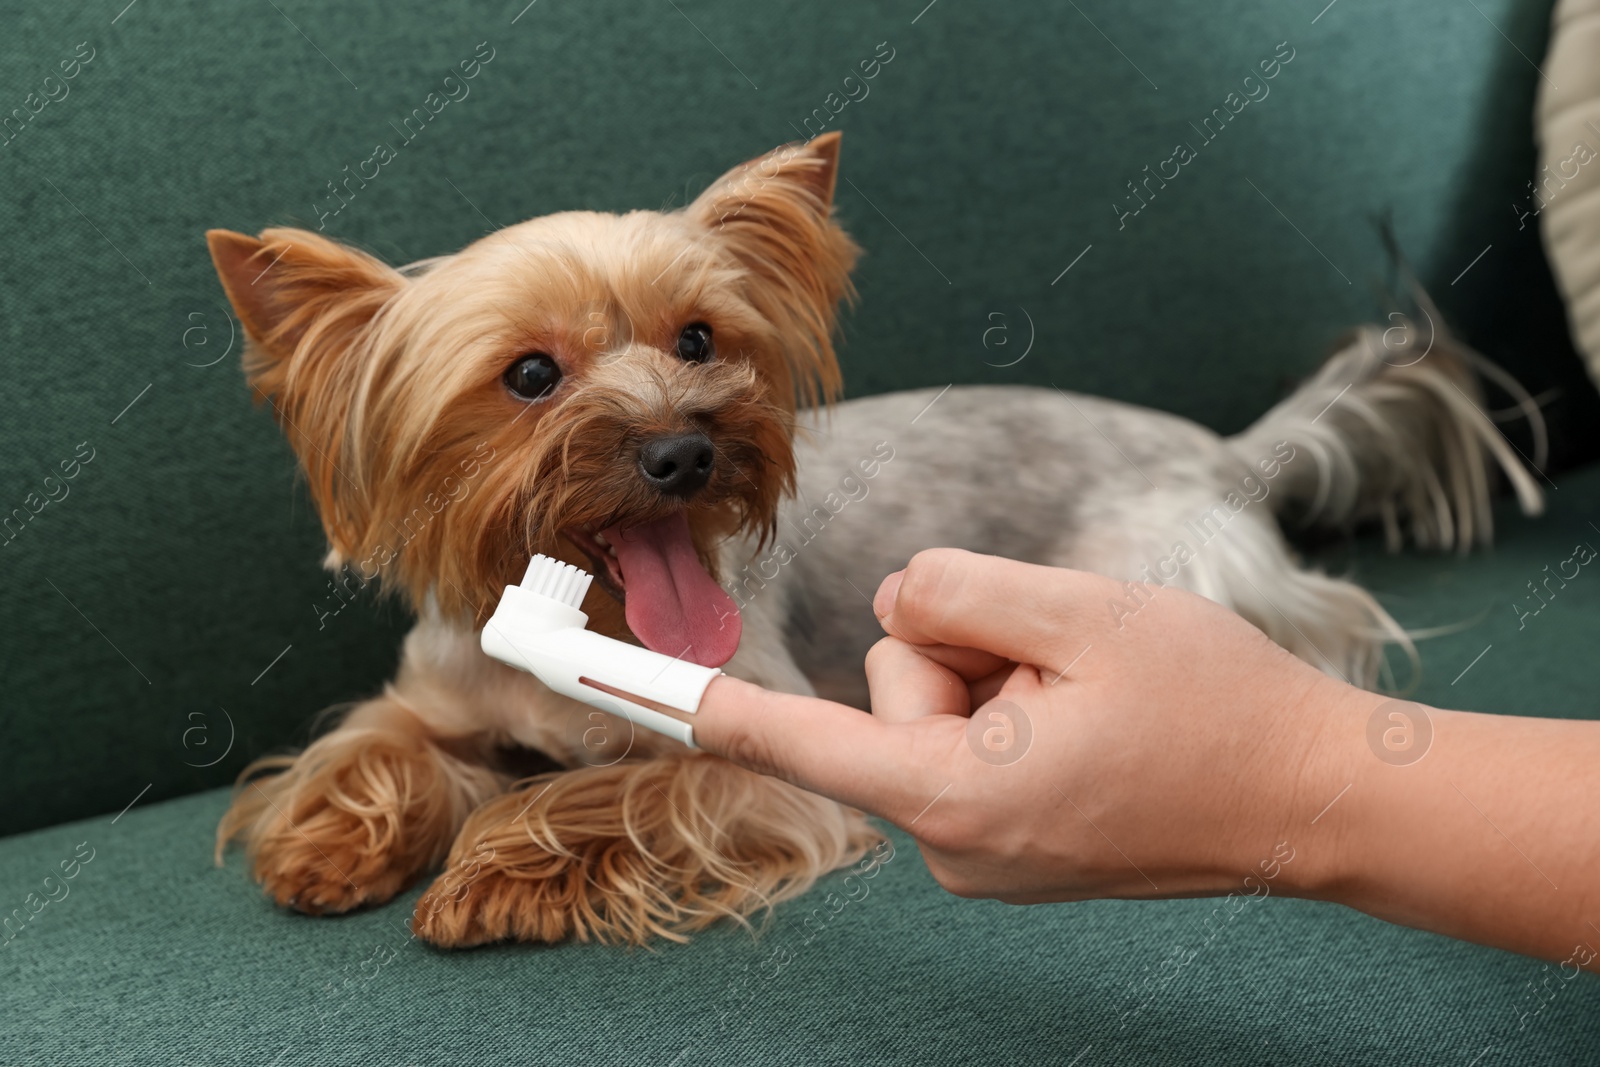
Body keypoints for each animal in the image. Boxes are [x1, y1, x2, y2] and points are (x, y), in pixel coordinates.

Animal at [206, 131, 1542, 940]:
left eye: (700, 340)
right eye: (528, 375)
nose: (683, 450)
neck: (590, 611)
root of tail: (1224, 447)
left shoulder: (752, 753)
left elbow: (611, 792)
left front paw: (495, 867)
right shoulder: (438, 688)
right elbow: (377, 743)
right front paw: (330, 841)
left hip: (1155, 566)